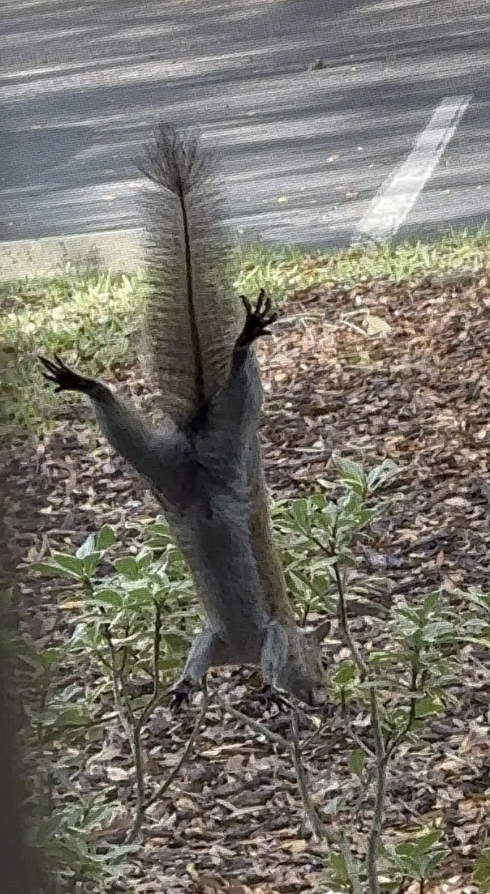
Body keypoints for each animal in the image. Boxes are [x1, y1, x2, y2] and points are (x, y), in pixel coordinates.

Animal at [38, 124, 330, 708]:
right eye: (322, 660)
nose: (324, 696)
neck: (241, 649)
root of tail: (198, 434)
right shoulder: (275, 635)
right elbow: (271, 657)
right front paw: (274, 691)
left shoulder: (214, 638)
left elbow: (198, 653)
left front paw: (183, 687)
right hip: (235, 425)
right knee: (242, 379)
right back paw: (244, 338)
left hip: (158, 461)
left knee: (120, 423)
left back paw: (84, 384)